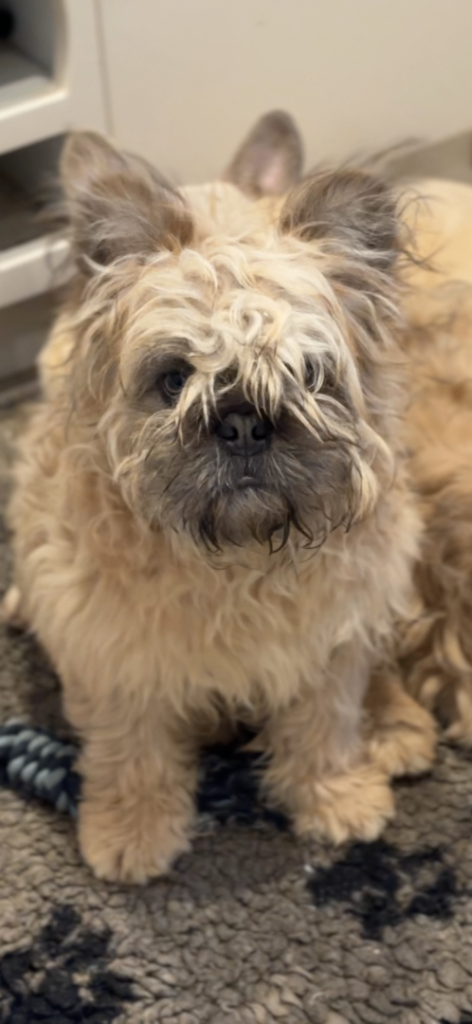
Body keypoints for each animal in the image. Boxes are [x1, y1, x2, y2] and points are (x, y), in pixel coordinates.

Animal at [2, 112, 453, 884]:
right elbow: (131, 748)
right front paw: (134, 827)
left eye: (307, 374)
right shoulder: (109, 652)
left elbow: (326, 721)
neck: (235, 561)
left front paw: (333, 794)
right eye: (173, 378)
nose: (243, 421)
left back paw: (395, 726)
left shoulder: (333, 635)